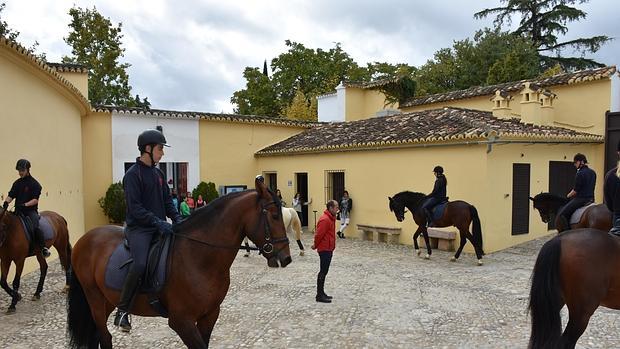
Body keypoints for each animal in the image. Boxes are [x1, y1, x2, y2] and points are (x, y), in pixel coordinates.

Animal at [68, 178, 290, 348]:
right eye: (274, 215)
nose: (286, 258)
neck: (199, 258)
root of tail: (85, 239)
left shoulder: (209, 315)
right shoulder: (181, 321)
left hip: (107, 300)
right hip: (94, 297)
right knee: (104, 337)